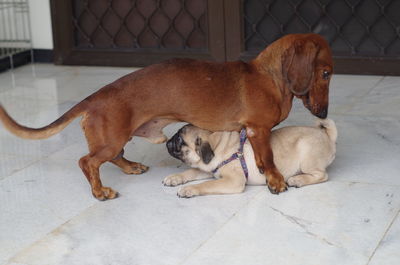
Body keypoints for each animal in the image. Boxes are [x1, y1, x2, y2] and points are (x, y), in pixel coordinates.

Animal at [164, 118, 336, 197]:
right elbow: (190, 172)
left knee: (322, 175)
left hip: (307, 156)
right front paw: (174, 178)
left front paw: (189, 189)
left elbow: (206, 185)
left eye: (179, 140)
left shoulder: (233, 181)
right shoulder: (209, 170)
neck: (219, 145)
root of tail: (327, 136)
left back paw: (298, 179)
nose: (167, 142)